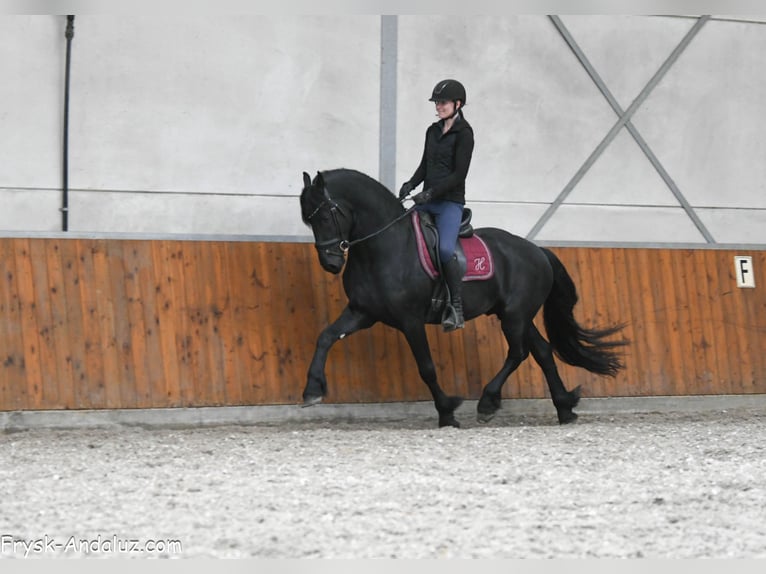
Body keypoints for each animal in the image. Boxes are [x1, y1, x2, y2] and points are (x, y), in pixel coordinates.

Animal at [299, 168, 628, 428]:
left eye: (326, 215)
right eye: (309, 220)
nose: (330, 263)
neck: (384, 247)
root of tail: (536, 250)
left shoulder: (410, 320)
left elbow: (426, 368)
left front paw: (447, 413)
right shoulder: (362, 312)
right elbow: (325, 337)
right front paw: (312, 390)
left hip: (514, 315)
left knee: (518, 353)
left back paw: (488, 402)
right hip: (518, 315)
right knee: (543, 352)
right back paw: (564, 408)